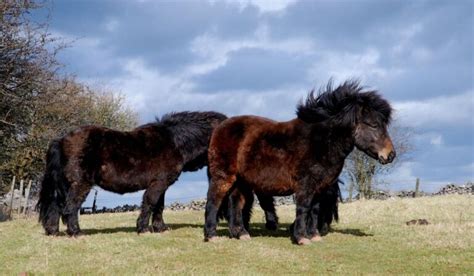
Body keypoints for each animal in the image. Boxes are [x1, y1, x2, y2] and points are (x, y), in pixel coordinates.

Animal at [38, 111, 227, 236]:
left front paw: (159, 228)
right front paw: (143, 228)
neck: (175, 142)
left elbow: (159, 206)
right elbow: (150, 203)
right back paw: (76, 232)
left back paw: (53, 231)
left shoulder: (161, 184)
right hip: (80, 184)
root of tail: (61, 139)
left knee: (56, 206)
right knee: (70, 207)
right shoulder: (158, 183)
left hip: (64, 185)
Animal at [206, 81, 394, 245]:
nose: (390, 155)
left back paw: (241, 234)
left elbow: (314, 210)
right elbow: (303, 208)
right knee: (214, 200)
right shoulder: (305, 185)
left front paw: (314, 235)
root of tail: (220, 127)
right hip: (224, 177)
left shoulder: (320, 187)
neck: (320, 142)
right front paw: (301, 238)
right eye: (373, 125)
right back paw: (211, 236)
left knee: (236, 203)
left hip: (242, 182)